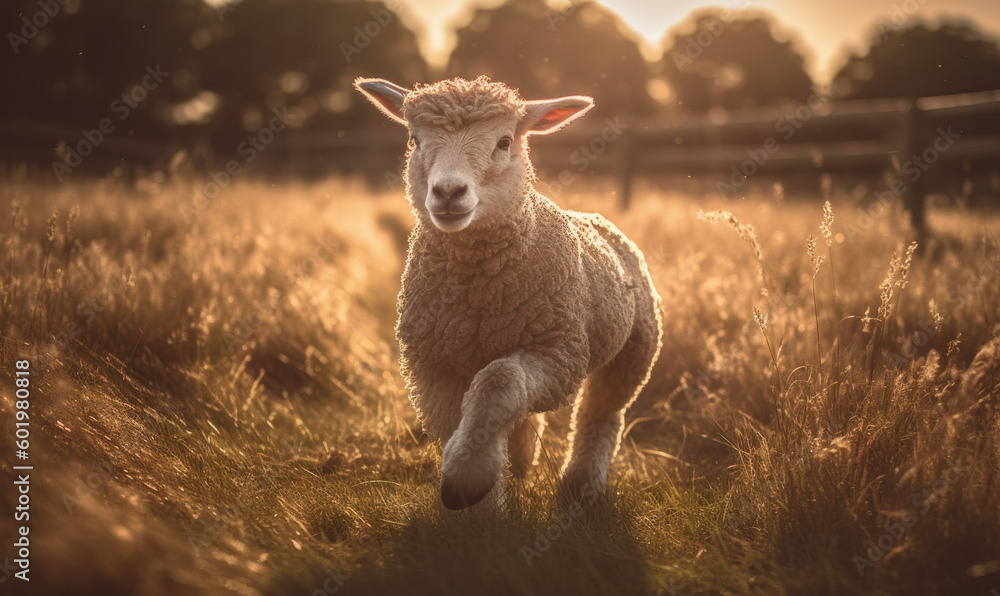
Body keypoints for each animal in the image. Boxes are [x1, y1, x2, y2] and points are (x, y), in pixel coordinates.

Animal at [355, 76, 662, 509]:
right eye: (415, 139)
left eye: (504, 142)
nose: (448, 192)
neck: (477, 291)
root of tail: (594, 217)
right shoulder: (430, 364)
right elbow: (461, 418)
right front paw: (482, 504)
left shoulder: (558, 349)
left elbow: (497, 382)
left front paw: (468, 477)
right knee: (525, 413)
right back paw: (520, 461)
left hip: (635, 351)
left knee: (600, 414)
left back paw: (581, 484)